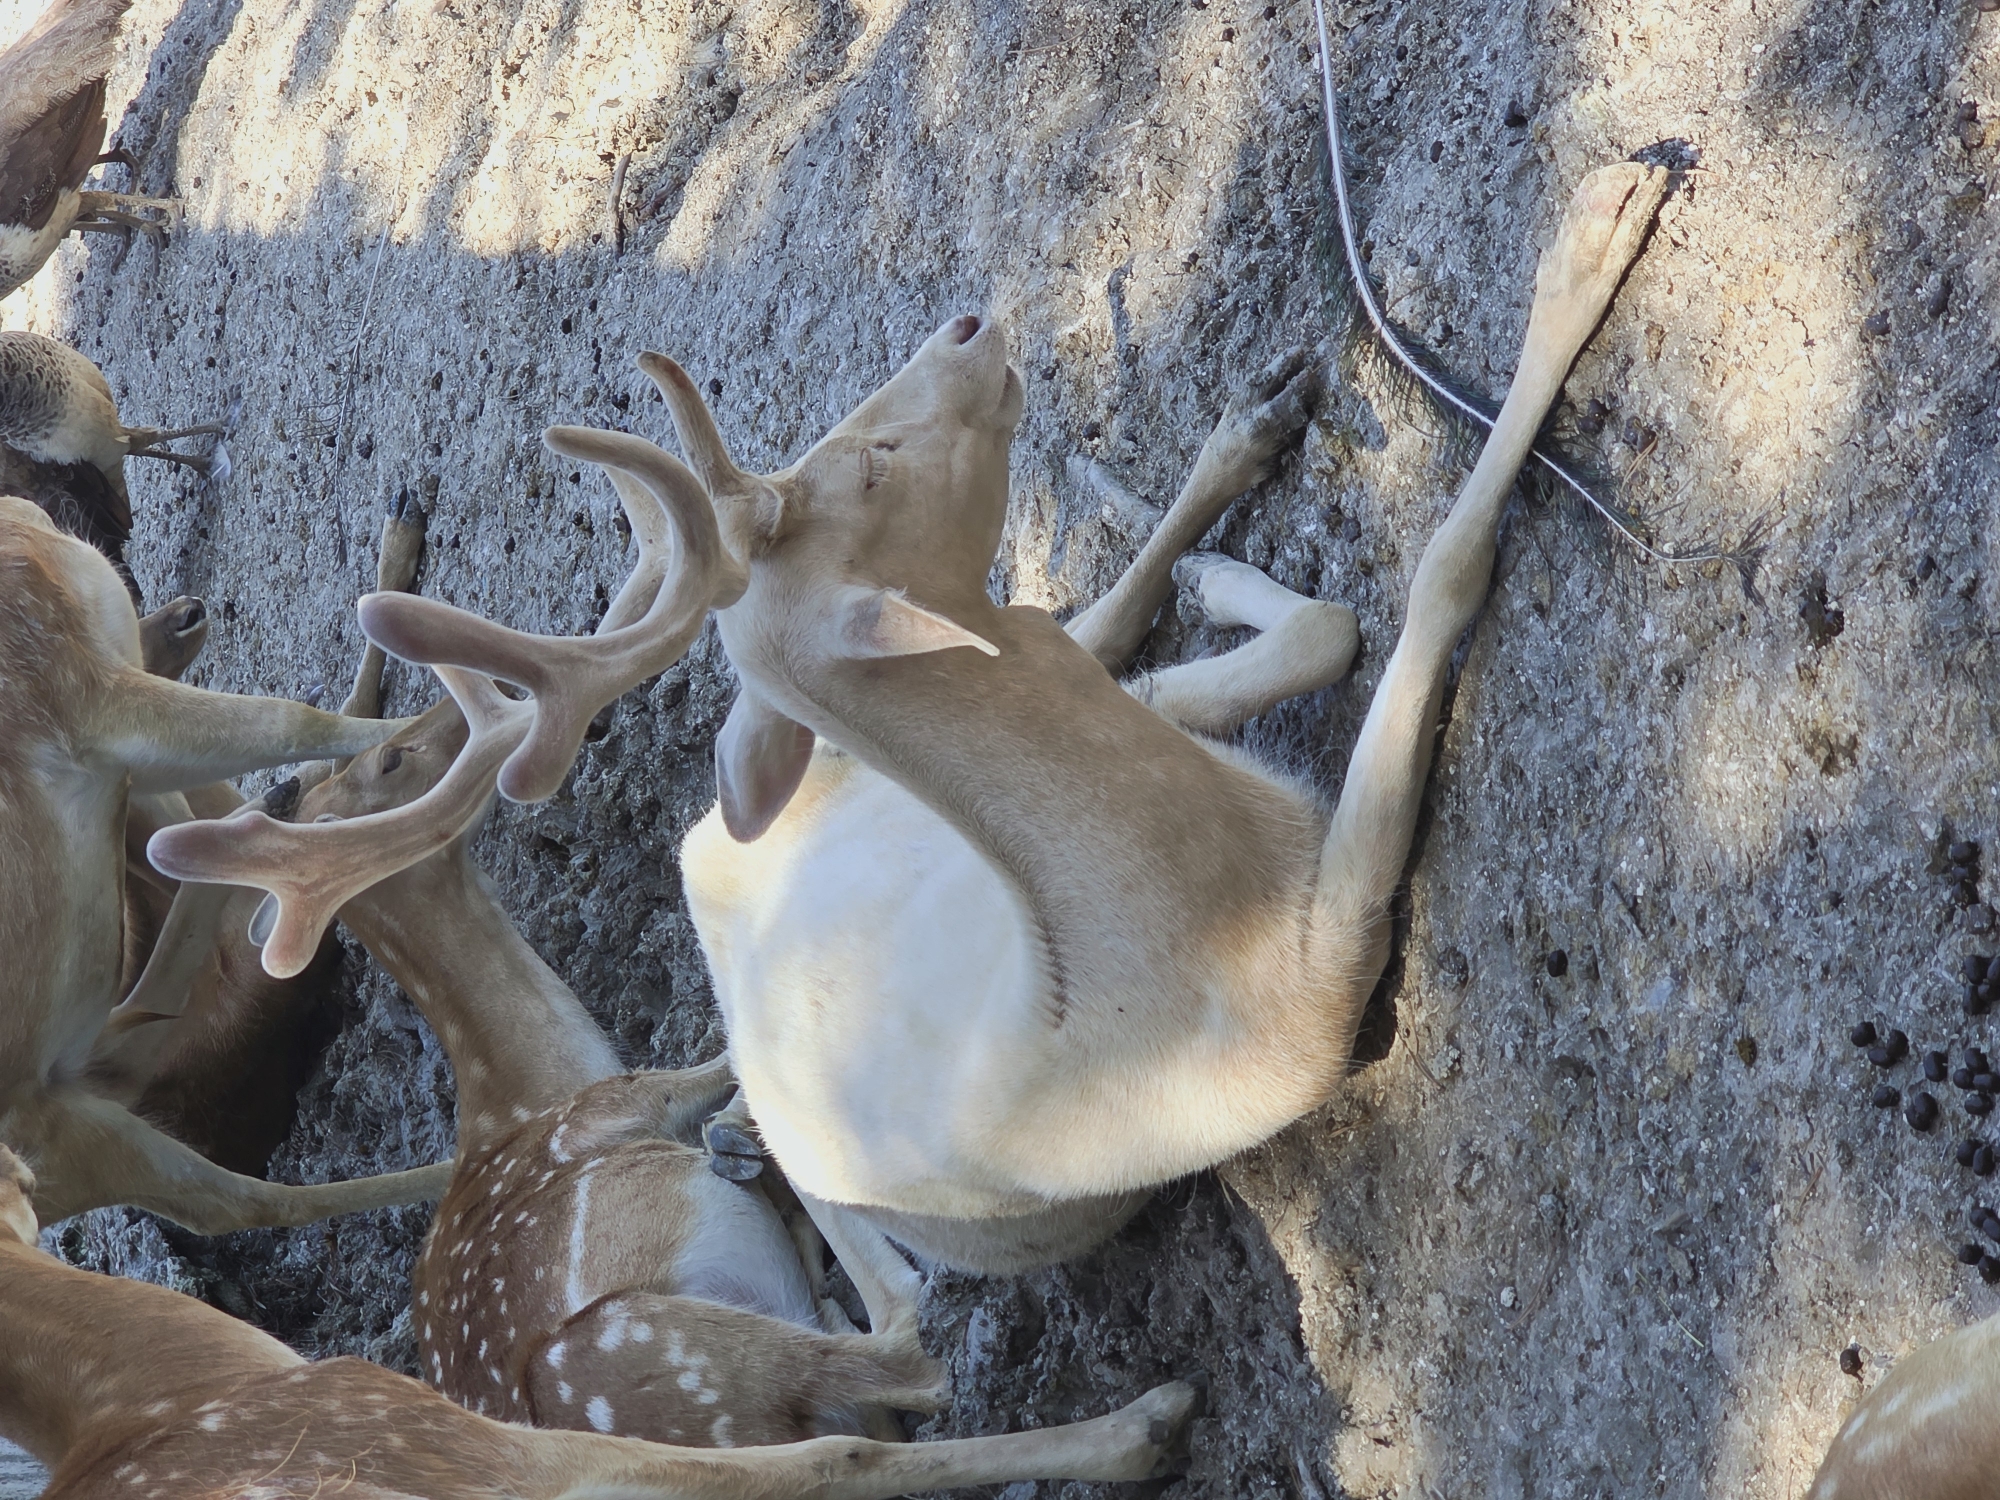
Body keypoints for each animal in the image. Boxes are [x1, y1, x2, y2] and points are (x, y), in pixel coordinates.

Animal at [0, 494, 452, 1233]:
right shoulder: (85, 694)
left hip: (88, 1076)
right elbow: (290, 719)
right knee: (242, 1204)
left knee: (144, 1022)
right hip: (64, 1142)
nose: (188, 609)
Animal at [151, 160, 1671, 1273]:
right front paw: (1595, 232)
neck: (1190, 935)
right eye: (875, 463)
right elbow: (1432, 576)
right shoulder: (1331, 976)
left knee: (1106, 625)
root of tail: (711, 841)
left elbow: (1321, 623)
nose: (966, 322)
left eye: (842, 443)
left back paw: (1231, 448)